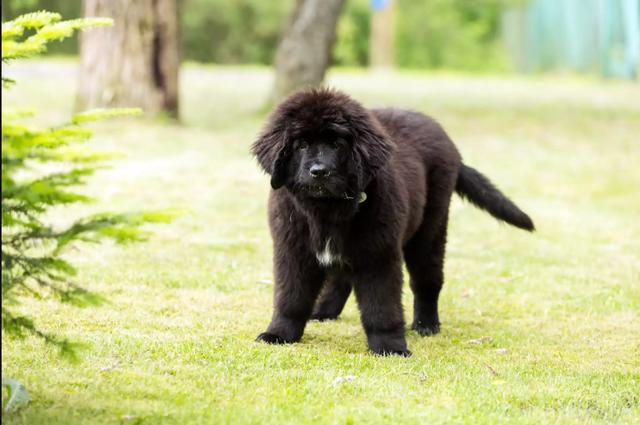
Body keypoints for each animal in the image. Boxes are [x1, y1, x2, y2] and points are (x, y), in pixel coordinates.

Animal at [252, 88, 532, 354]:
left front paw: (389, 346)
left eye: (337, 144)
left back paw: (426, 325)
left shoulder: (379, 254)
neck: (327, 210)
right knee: (341, 278)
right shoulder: (293, 250)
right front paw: (279, 334)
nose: (319, 172)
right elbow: (291, 298)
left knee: (427, 279)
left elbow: (381, 305)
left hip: (429, 228)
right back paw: (324, 311)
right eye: (300, 145)